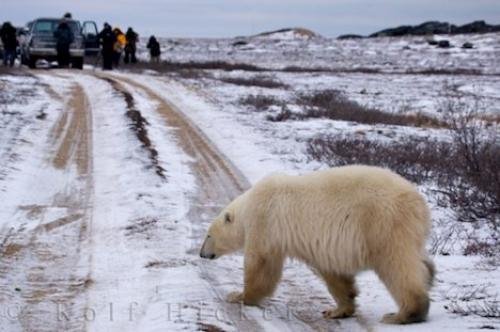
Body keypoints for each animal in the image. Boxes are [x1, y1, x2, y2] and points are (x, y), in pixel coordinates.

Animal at [201, 165, 436, 322]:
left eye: (208, 235)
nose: (202, 254)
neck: (249, 205)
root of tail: (419, 203)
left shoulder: (265, 222)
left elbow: (261, 263)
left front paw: (239, 295)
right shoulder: (322, 245)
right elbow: (334, 275)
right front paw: (337, 310)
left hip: (383, 224)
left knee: (397, 266)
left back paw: (404, 313)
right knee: (417, 259)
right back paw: (430, 275)